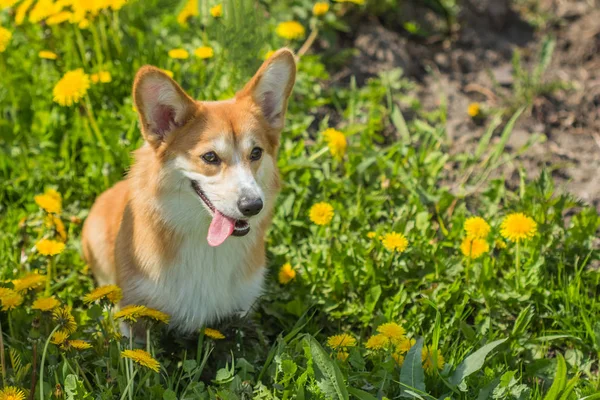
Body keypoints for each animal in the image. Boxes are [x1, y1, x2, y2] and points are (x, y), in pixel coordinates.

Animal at [82, 48, 298, 332]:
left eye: (256, 153)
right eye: (210, 157)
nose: (253, 206)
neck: (205, 244)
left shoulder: (243, 312)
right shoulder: (134, 312)